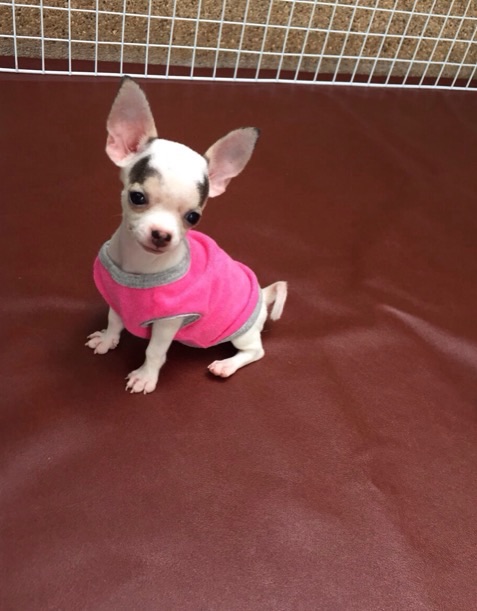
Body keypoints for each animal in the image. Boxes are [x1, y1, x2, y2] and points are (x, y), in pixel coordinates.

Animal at [86, 77, 287, 394]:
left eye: (194, 217)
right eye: (137, 197)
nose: (162, 234)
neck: (139, 266)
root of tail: (263, 295)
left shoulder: (168, 322)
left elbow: (154, 350)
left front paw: (145, 376)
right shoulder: (116, 299)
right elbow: (115, 320)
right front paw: (107, 339)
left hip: (240, 332)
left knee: (255, 351)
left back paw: (226, 365)